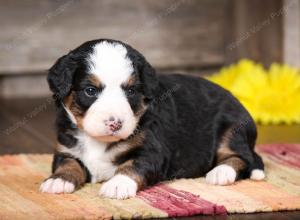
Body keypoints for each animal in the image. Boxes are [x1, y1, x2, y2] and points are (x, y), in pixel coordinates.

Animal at [40, 38, 264, 199]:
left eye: (131, 91)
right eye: (90, 91)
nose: (115, 123)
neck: (99, 141)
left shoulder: (152, 151)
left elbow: (132, 165)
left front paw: (118, 184)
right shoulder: (65, 147)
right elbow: (68, 163)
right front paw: (59, 180)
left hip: (232, 129)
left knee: (243, 157)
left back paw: (220, 173)